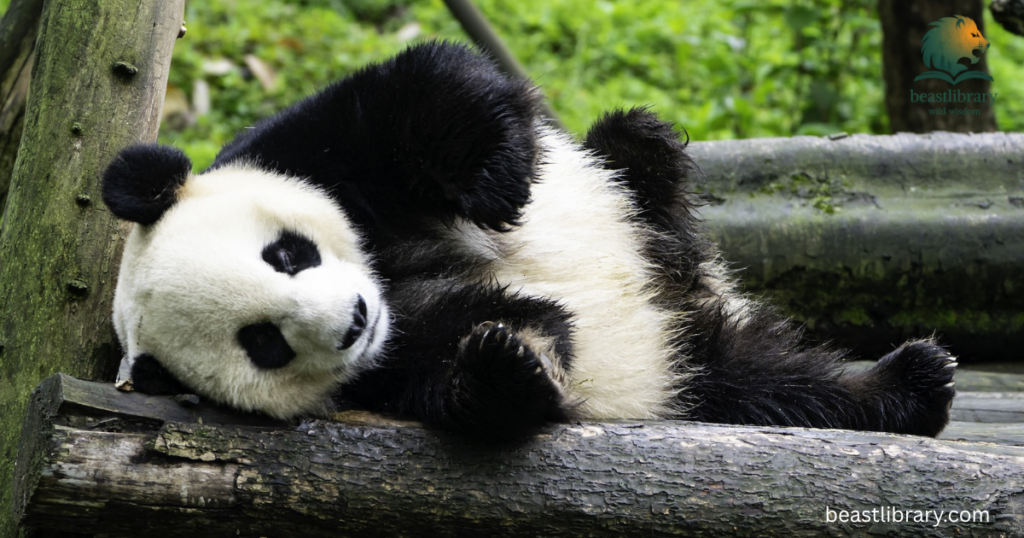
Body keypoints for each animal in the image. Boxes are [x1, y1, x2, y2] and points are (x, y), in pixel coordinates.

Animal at [102, 42, 957, 440]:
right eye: (264, 344)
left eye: (285, 254)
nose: (352, 321)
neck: (390, 274)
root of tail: (687, 293)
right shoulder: (383, 370)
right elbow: (462, 374)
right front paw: (509, 361)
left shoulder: (308, 151)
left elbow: (423, 92)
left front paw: (500, 187)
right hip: (691, 367)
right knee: (772, 385)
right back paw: (909, 385)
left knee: (635, 174)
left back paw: (644, 158)